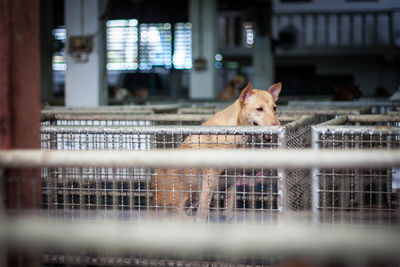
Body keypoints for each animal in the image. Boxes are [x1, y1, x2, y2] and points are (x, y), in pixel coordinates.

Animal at [152, 82, 282, 221]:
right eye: (259, 109)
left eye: (274, 108)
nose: (278, 125)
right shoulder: (210, 177)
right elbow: (202, 211)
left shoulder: (231, 179)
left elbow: (228, 209)